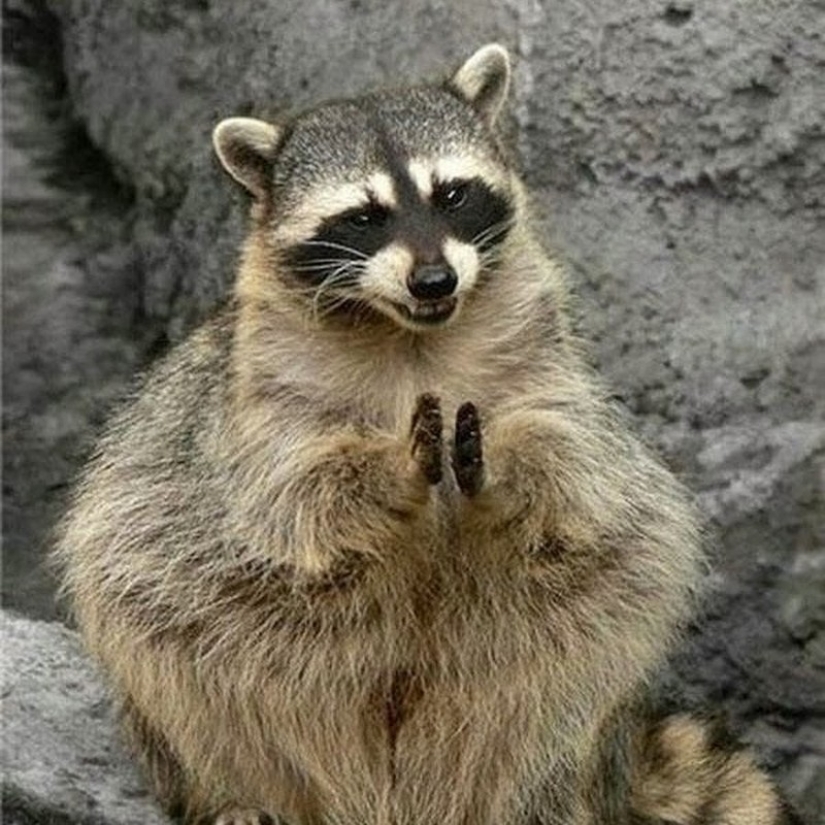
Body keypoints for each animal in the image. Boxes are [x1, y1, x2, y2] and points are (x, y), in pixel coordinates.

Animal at [55, 45, 801, 825]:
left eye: (451, 195)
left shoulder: (550, 368)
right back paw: (232, 791)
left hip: (556, 674)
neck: (413, 334)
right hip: (194, 658)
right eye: (363, 216)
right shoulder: (257, 406)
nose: (434, 278)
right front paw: (387, 469)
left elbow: (574, 467)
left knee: (558, 691)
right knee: (188, 683)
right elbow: (292, 499)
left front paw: (504, 470)